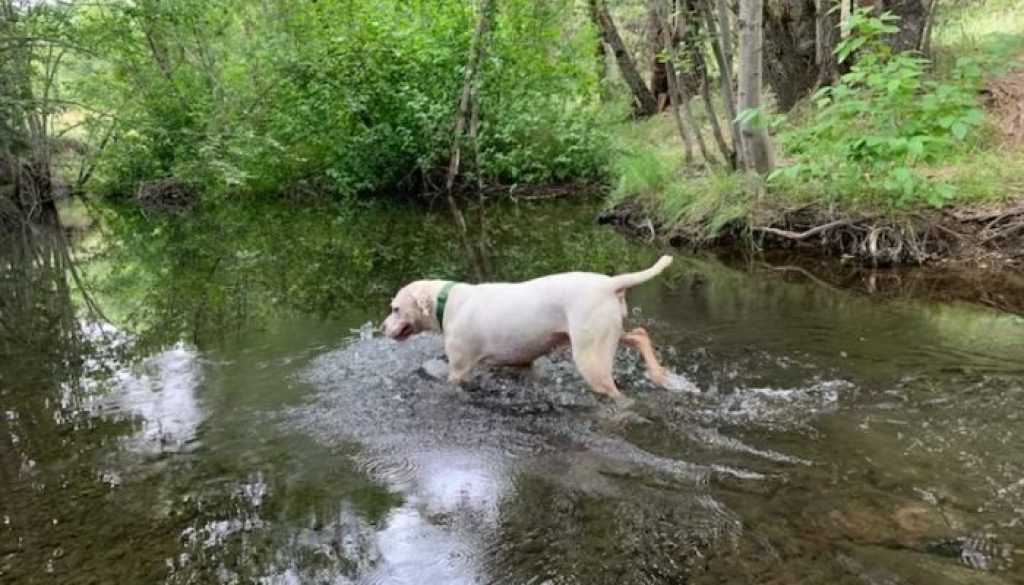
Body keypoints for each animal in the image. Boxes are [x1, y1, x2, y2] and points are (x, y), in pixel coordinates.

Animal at [380, 256, 675, 407]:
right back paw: (659, 375)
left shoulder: (460, 369)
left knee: (616, 392)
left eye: (395, 309)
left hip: (591, 357)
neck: (448, 301)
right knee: (640, 334)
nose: (382, 328)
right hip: (605, 335)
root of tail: (610, 283)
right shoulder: (521, 363)